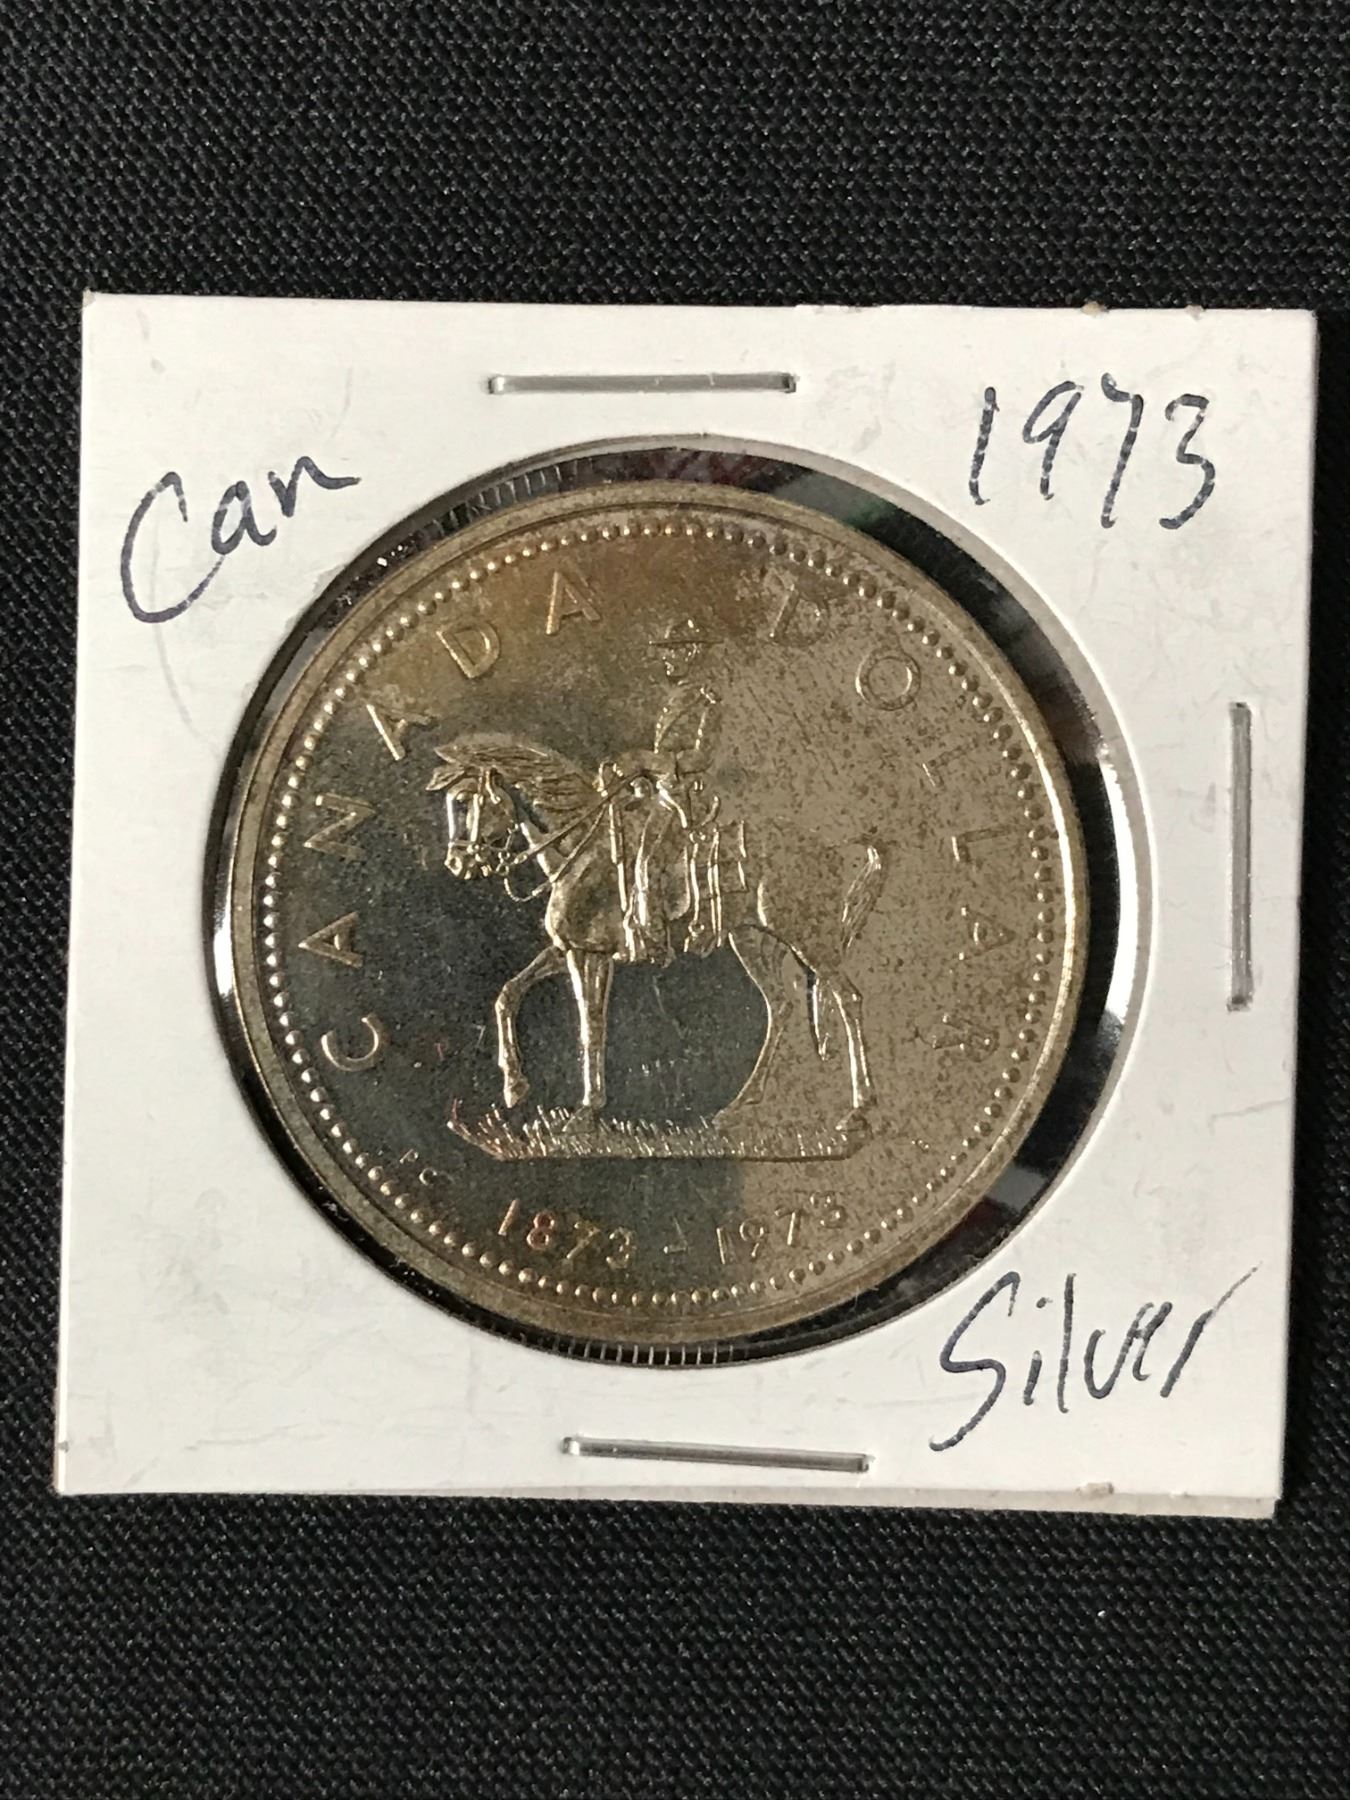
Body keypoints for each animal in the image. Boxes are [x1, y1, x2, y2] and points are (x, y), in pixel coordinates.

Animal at [426, 735, 885, 1131]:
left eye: (464, 802)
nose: (457, 864)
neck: (582, 850)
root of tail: (829, 847)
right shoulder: (570, 948)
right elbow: (508, 994)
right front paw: (514, 1087)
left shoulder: (589, 956)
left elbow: (591, 1025)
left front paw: (586, 1112)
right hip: (753, 940)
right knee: (781, 1006)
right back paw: (741, 1105)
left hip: (810, 940)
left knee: (847, 999)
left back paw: (859, 1110)